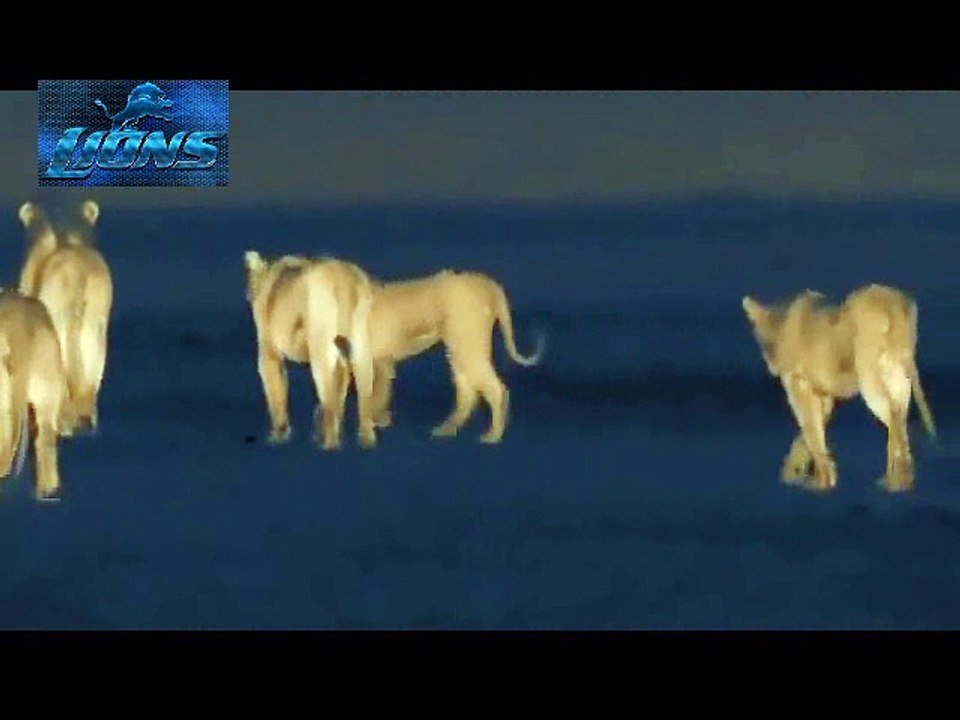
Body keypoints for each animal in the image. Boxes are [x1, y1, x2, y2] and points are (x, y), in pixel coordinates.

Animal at [244, 250, 377, 450]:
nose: (247, 294)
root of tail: (343, 277)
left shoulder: (269, 349)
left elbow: (275, 389)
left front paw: (278, 435)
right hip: (359, 337)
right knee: (363, 381)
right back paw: (367, 439)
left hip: (320, 338)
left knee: (328, 385)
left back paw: (330, 444)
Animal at [367, 270, 546, 444]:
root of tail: (490, 285)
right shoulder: (382, 362)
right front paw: (380, 419)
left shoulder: (378, 362)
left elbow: (374, 396)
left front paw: (375, 423)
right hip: (460, 351)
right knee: (468, 391)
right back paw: (448, 429)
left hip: (469, 350)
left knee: (495, 390)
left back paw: (493, 436)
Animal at [742, 284, 936, 493]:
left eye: (763, 338)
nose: (772, 365)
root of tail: (895, 300)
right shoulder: (823, 394)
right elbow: (811, 432)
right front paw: (814, 474)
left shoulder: (800, 387)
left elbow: (810, 428)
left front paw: (815, 479)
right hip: (897, 377)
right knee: (899, 417)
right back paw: (899, 478)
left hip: (869, 375)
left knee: (893, 415)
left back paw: (895, 480)